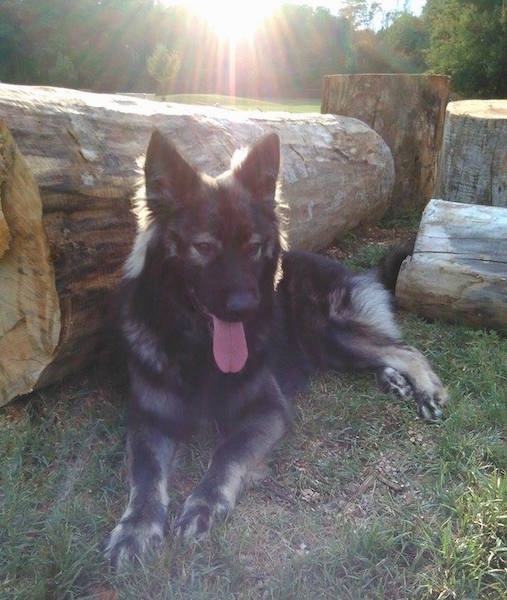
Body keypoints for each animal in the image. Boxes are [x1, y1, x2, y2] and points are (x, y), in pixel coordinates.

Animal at [104, 131, 448, 568]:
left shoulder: (268, 409)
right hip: (332, 347)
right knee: (386, 353)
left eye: (253, 246)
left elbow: (227, 455)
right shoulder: (149, 418)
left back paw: (427, 391)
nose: (246, 307)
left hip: (332, 332)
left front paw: (204, 504)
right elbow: (147, 475)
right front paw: (136, 527)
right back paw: (394, 382)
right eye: (204, 246)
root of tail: (354, 272)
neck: (198, 349)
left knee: (406, 350)